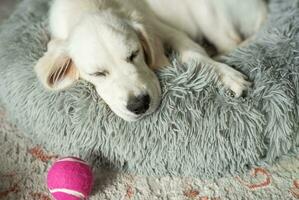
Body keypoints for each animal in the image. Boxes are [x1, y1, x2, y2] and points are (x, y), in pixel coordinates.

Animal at [34, 0, 268, 120]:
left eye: (134, 54)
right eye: (97, 74)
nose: (139, 105)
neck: (91, 6)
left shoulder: (162, 27)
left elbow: (193, 53)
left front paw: (227, 76)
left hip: (206, 10)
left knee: (231, 42)